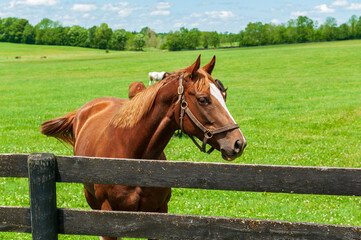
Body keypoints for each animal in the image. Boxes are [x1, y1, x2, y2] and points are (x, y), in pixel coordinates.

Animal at [40, 54, 246, 240]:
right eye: (203, 99)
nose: (238, 142)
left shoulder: (158, 214)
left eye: (224, 95)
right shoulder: (109, 219)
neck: (135, 160)